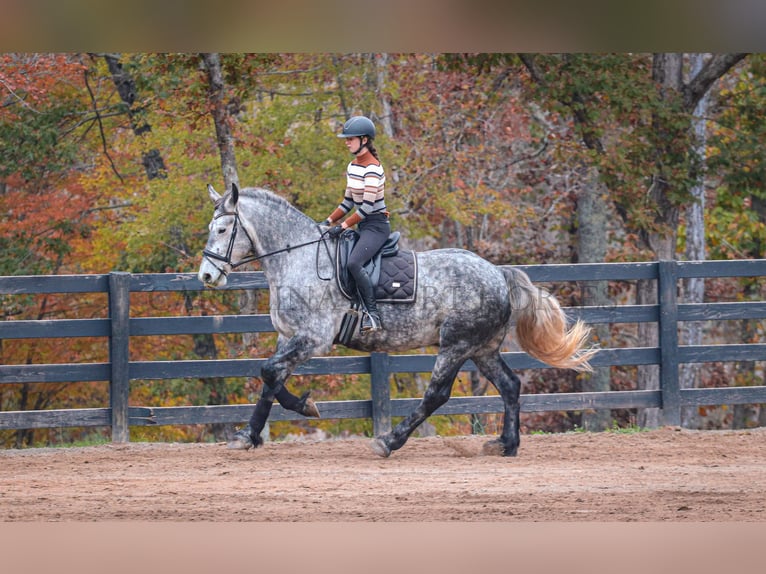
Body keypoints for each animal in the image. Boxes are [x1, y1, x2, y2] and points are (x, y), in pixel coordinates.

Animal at [196, 184, 592, 460]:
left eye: (222, 230)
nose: (206, 276)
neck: (301, 259)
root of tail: (497, 273)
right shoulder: (289, 337)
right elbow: (271, 378)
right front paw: (256, 431)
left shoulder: (313, 338)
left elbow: (268, 372)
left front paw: (290, 413)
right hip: (482, 348)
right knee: (510, 386)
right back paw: (506, 445)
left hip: (456, 344)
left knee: (437, 394)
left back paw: (389, 441)